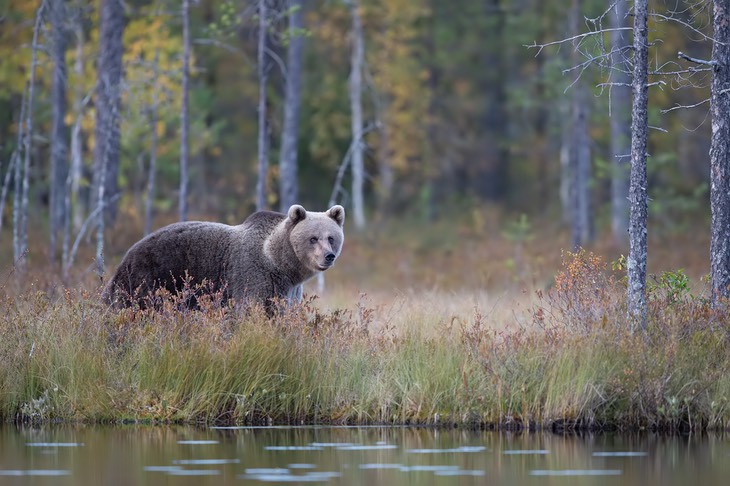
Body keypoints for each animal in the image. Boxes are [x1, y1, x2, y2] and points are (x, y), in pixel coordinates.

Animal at [102, 203, 344, 314]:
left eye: (331, 237)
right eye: (313, 238)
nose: (329, 256)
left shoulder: (289, 292)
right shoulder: (253, 277)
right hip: (148, 280)